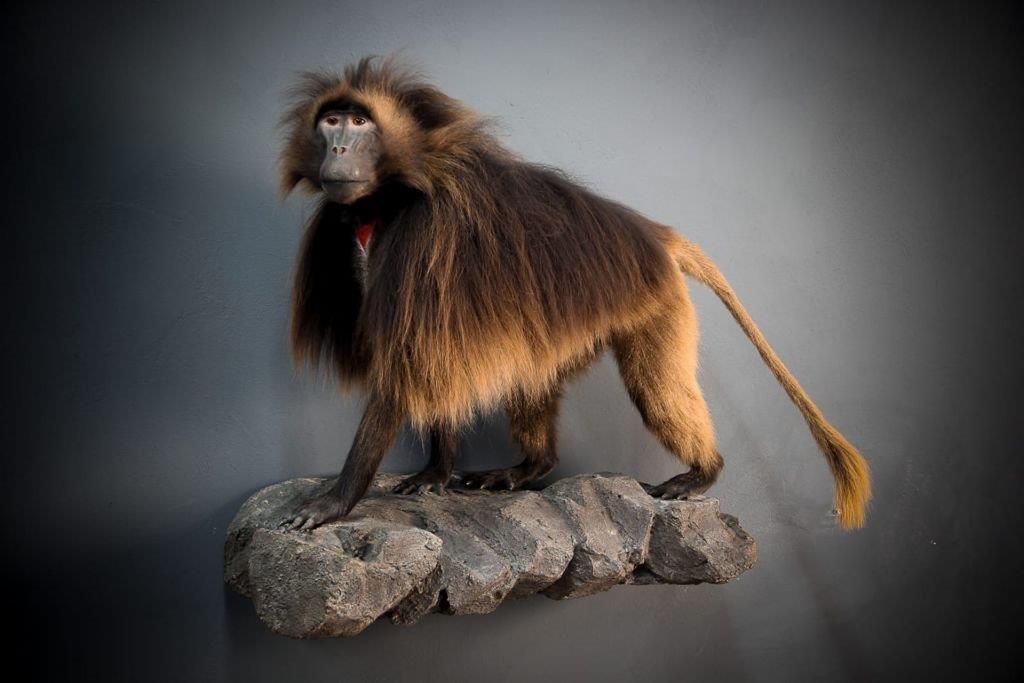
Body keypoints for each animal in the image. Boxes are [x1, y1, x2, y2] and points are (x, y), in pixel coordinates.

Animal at [278, 56, 871, 532]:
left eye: (360, 122)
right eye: (331, 120)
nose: (339, 146)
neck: (398, 190)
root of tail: (653, 234)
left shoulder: (426, 240)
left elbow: (409, 363)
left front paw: (336, 500)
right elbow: (433, 361)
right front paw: (435, 472)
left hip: (658, 302)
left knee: (654, 387)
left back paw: (703, 474)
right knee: (532, 373)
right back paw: (530, 467)